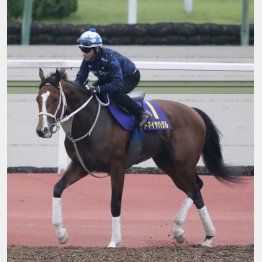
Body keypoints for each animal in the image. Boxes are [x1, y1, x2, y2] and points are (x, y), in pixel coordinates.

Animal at [36, 67, 239, 248]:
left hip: (184, 163)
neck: (91, 121)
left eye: (55, 98)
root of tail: (193, 111)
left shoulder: (117, 166)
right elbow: (57, 188)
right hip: (169, 164)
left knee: (195, 188)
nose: (42, 130)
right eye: (38, 99)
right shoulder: (80, 165)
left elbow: (115, 202)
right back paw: (196, 235)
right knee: (195, 188)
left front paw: (114, 241)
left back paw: (194, 232)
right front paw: (61, 234)